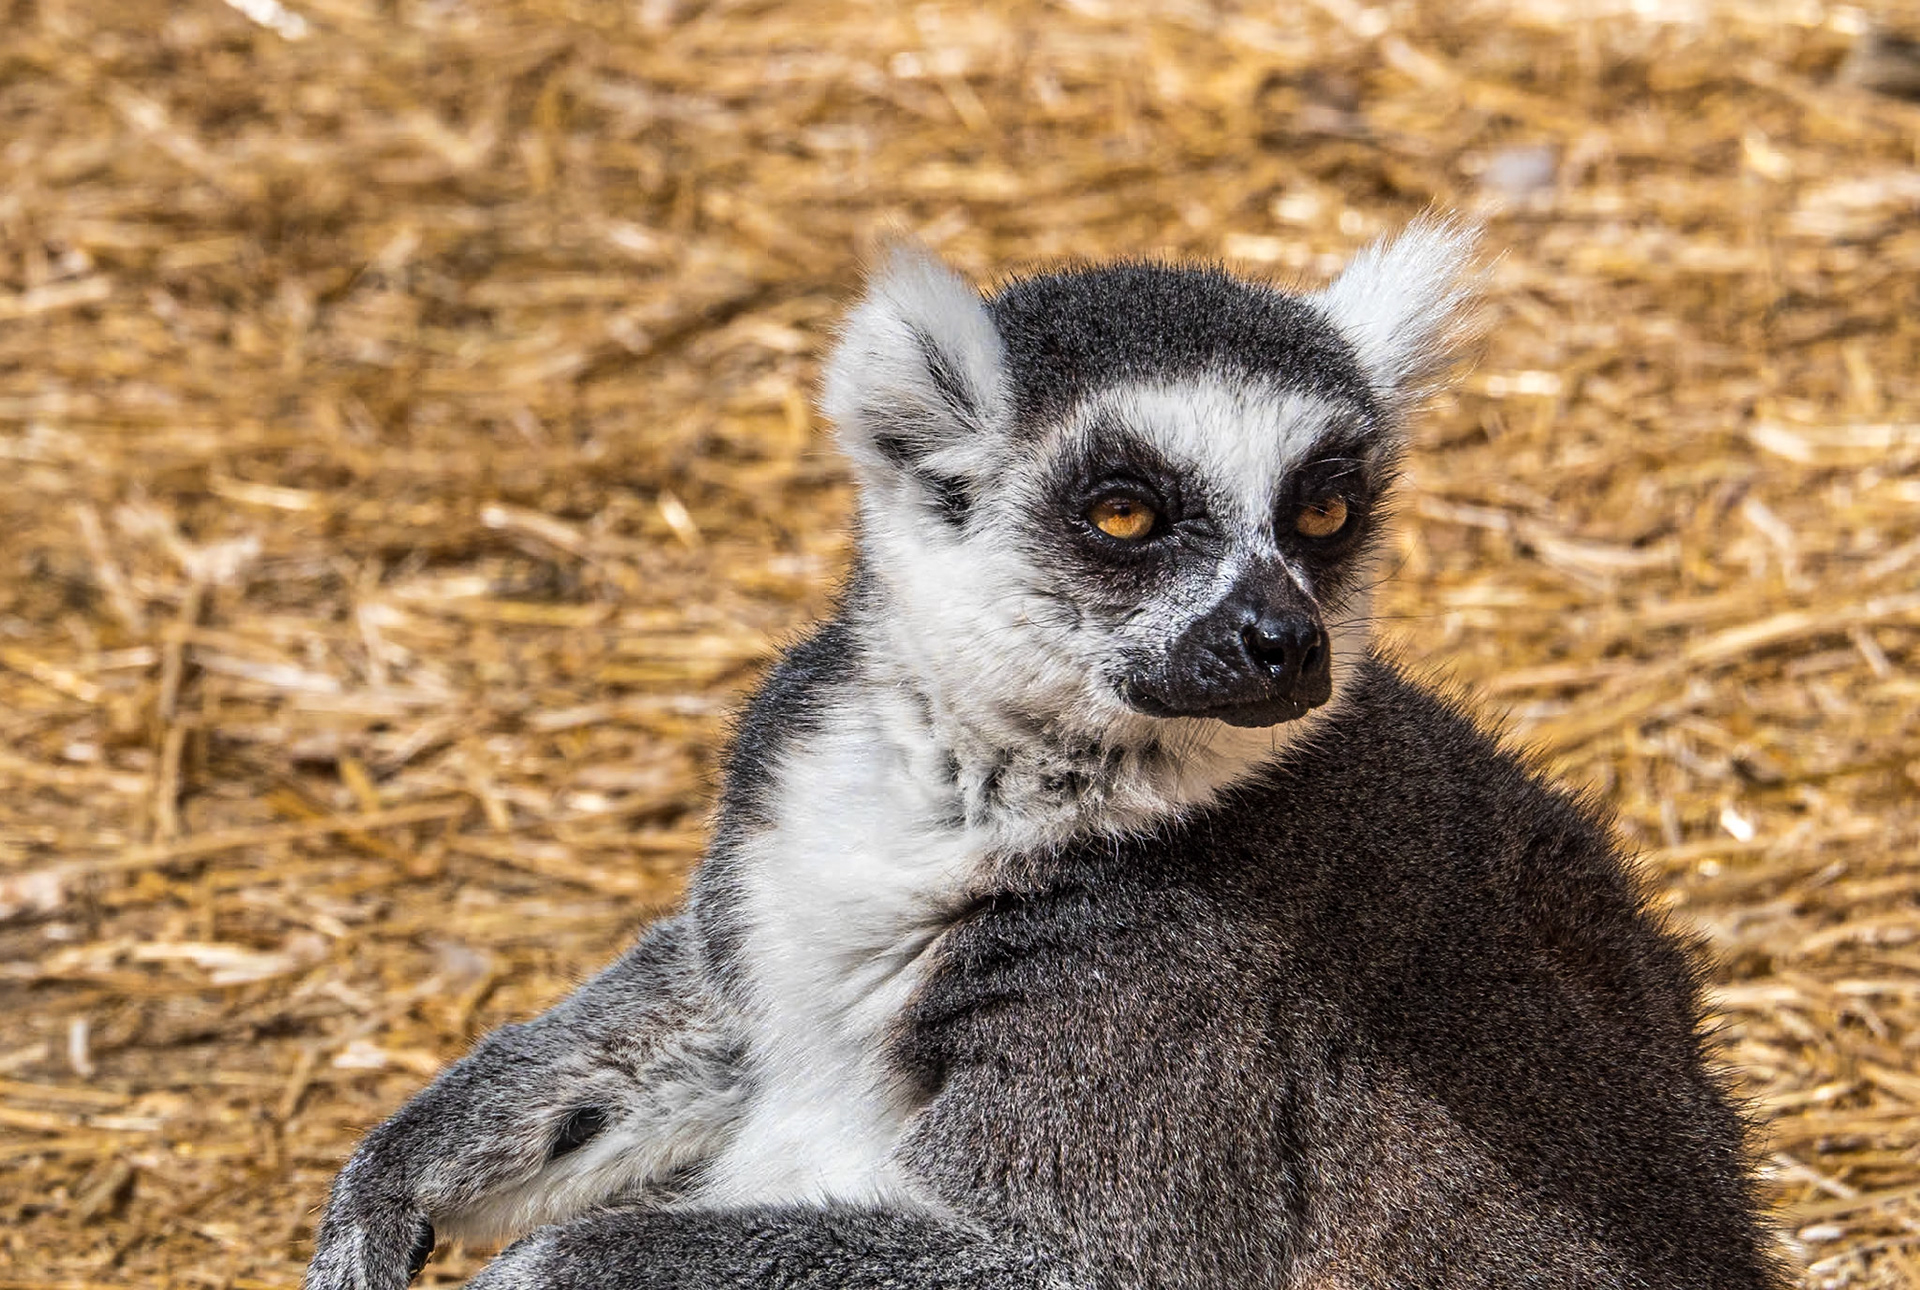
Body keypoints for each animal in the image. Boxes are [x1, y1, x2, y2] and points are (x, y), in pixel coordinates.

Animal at [306, 221, 1786, 1290]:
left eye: (1325, 511)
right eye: (1123, 513)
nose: (1283, 642)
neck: (976, 776)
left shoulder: (1173, 986)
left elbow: (1087, 1259)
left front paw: (546, 1268)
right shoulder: (780, 832)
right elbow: (718, 1010)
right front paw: (393, 1177)